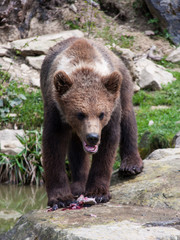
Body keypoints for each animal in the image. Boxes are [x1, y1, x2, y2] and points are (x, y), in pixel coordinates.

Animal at [40, 37, 143, 208]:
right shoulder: (55, 110)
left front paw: (98, 193)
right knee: (76, 148)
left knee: (128, 118)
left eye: (102, 114)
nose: (93, 137)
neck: (84, 66)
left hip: (123, 85)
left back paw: (131, 165)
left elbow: (108, 145)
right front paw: (61, 198)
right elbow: (53, 146)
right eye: (80, 114)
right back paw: (78, 186)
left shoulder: (112, 110)